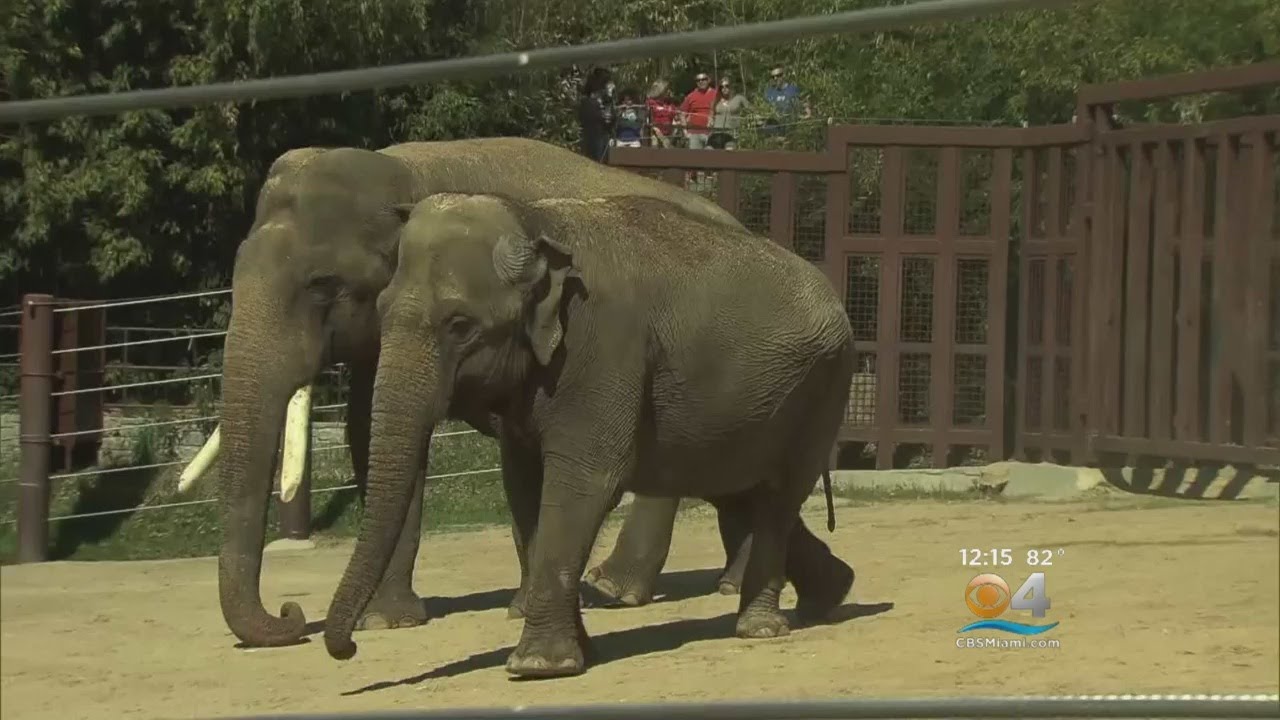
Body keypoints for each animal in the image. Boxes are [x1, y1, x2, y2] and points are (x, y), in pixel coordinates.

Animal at [184, 137, 762, 649]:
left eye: (321, 284)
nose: (291, 616)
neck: (400, 170)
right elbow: (371, 434)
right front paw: (388, 622)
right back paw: (705, 584)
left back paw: (620, 589)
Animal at [322, 193, 858, 678]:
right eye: (381, 309)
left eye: (459, 324)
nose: (348, 649)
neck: (532, 219)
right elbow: (524, 485)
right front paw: (580, 654)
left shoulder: (602, 349)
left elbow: (584, 481)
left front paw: (538, 666)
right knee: (738, 494)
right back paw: (830, 595)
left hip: (822, 391)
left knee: (776, 498)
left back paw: (761, 628)